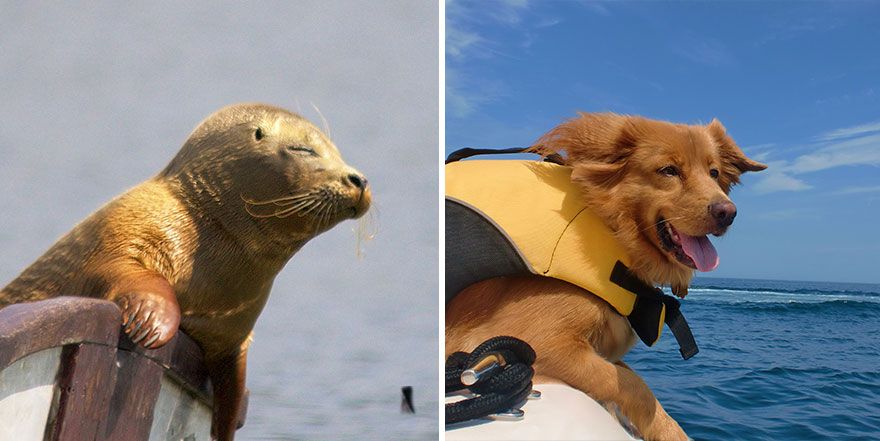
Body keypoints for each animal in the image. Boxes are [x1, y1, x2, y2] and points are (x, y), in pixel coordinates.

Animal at [446, 113, 764, 440]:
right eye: (668, 170)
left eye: (714, 173)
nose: (728, 212)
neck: (611, 228)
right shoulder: (529, 340)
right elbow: (633, 385)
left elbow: (628, 377)